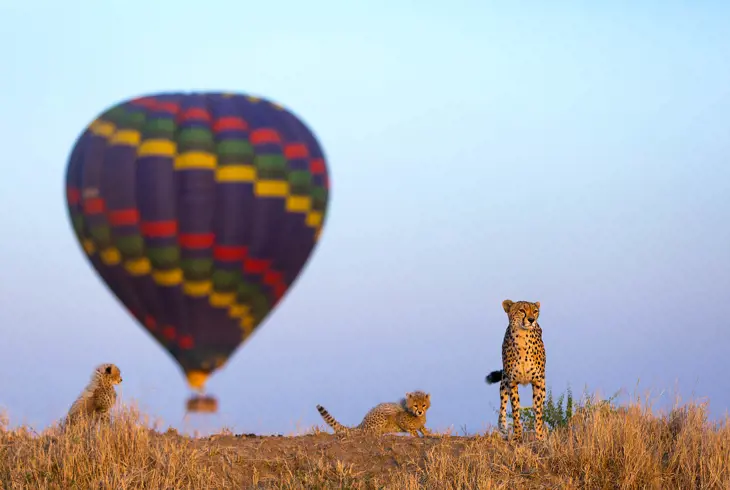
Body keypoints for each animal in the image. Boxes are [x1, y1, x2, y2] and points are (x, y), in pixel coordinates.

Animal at [486, 298, 544, 440]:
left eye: (535, 311)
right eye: (522, 310)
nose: (531, 320)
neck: (523, 338)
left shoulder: (537, 381)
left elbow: (538, 409)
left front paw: (540, 436)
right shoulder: (512, 382)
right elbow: (515, 408)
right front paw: (517, 434)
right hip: (504, 382)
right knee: (502, 405)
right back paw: (503, 428)